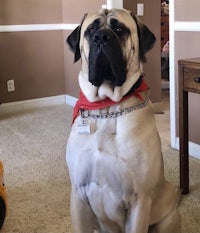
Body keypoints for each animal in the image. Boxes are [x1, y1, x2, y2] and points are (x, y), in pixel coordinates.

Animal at [66, 8, 181, 232]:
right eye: (90, 30)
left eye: (119, 29)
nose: (101, 37)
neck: (106, 108)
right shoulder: (77, 195)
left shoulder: (140, 201)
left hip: (167, 216)